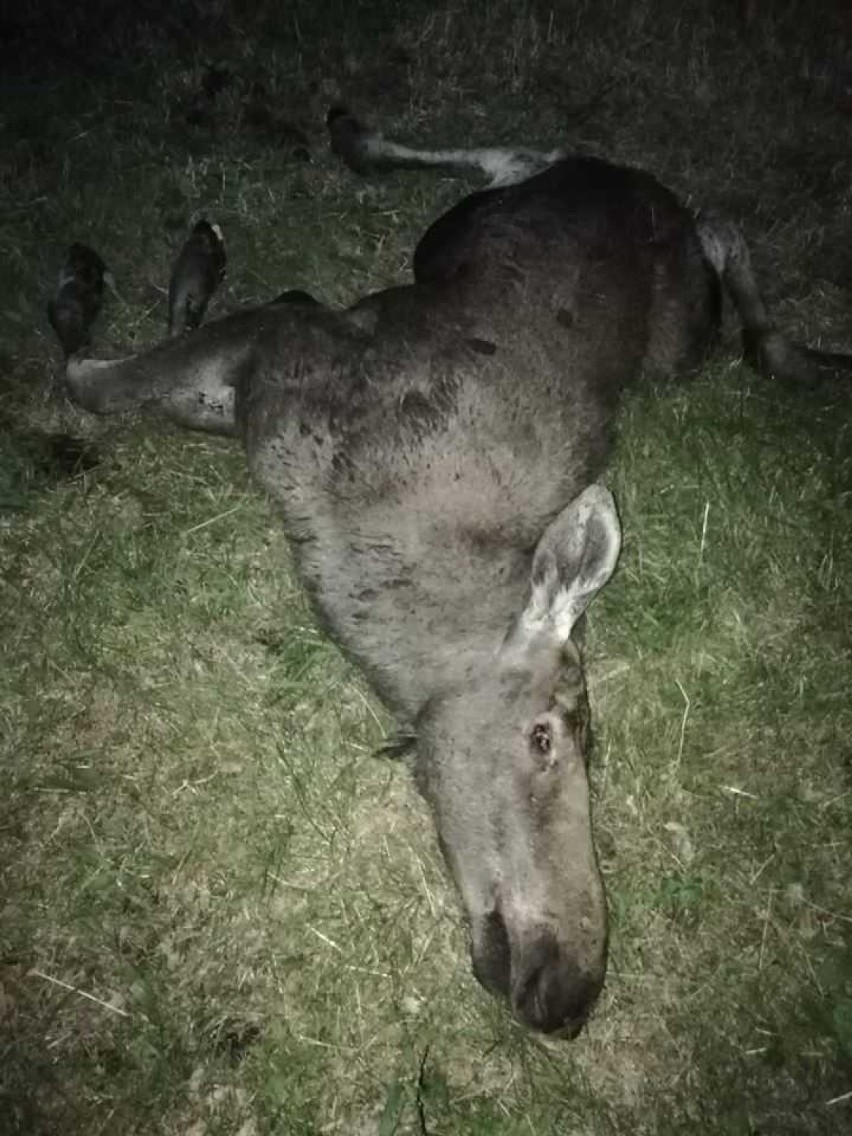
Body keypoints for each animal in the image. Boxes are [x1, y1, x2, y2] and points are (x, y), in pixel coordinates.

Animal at [51, 110, 849, 1036]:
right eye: (545, 735)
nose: (571, 989)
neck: (350, 554)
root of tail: (635, 182)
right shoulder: (282, 349)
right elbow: (98, 382)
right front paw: (90, 294)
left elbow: (119, 377)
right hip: (501, 253)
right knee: (582, 175)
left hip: (659, 332)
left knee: (673, 222)